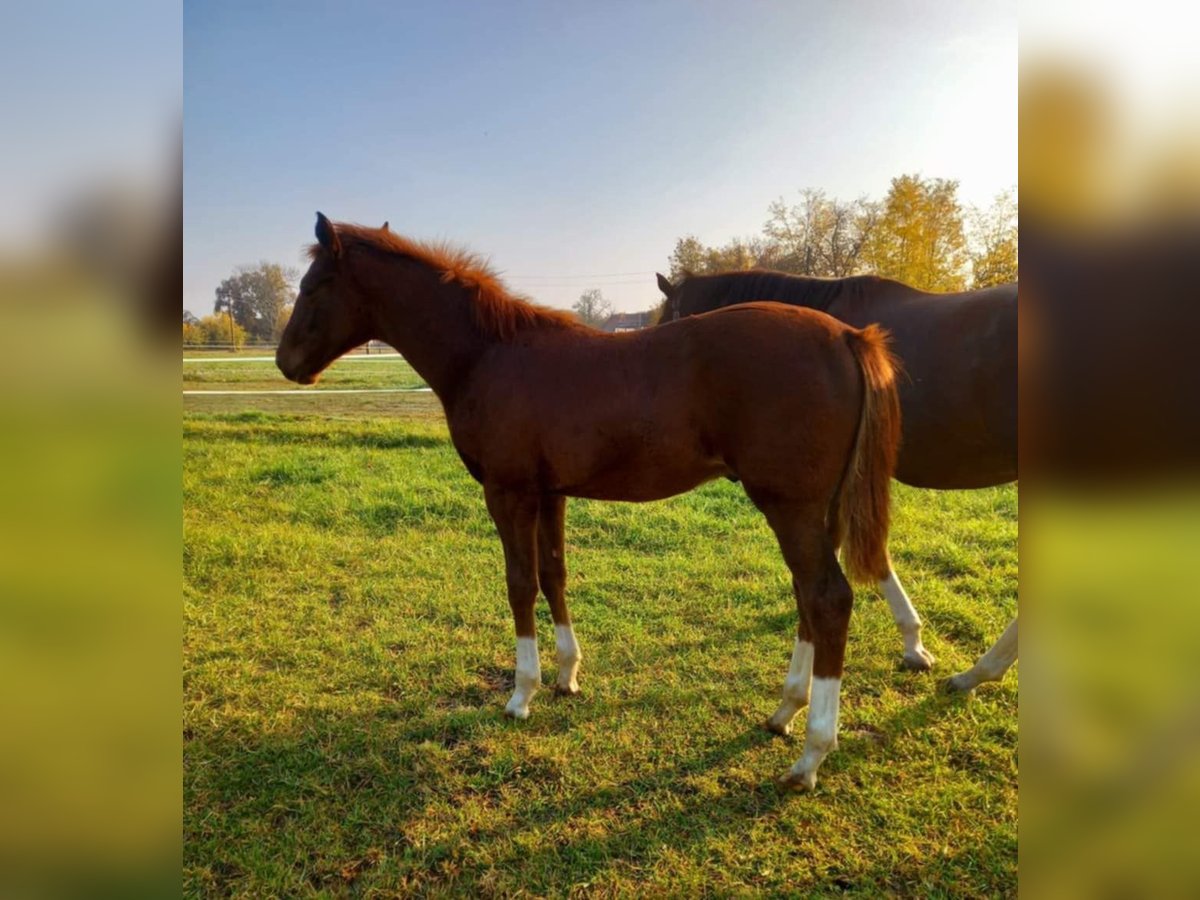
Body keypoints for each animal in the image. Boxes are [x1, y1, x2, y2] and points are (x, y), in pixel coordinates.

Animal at [276, 213, 902, 787]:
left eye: (313, 285)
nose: (286, 363)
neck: (489, 354)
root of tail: (848, 337)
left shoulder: (508, 493)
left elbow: (519, 583)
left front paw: (521, 694)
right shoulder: (550, 494)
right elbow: (554, 574)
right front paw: (566, 676)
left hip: (789, 507)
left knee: (827, 600)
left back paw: (811, 755)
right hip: (816, 511)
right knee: (808, 599)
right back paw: (784, 712)